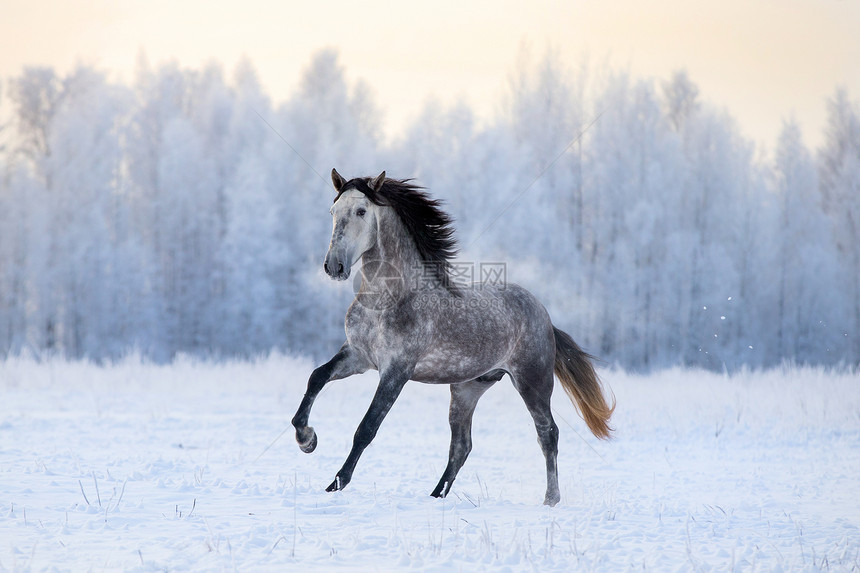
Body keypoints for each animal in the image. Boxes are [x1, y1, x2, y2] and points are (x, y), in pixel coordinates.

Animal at [292, 168, 616, 502]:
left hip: (532, 382)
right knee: (462, 446)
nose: (334, 266)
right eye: (333, 211)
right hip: (466, 389)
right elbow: (316, 377)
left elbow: (367, 427)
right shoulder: (357, 356)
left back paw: (550, 499)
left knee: (547, 433)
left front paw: (336, 483)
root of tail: (544, 315)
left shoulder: (396, 371)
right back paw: (437, 496)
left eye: (361, 211)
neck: (389, 299)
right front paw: (307, 439)